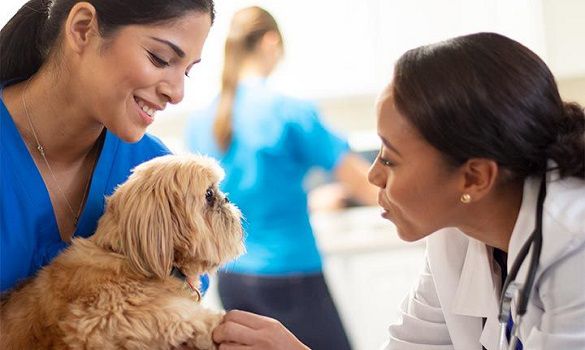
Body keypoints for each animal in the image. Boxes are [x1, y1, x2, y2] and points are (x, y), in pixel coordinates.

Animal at [0, 155, 242, 350]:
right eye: (209, 194)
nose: (227, 199)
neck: (124, 256)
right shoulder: (103, 317)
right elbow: (176, 314)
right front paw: (215, 326)